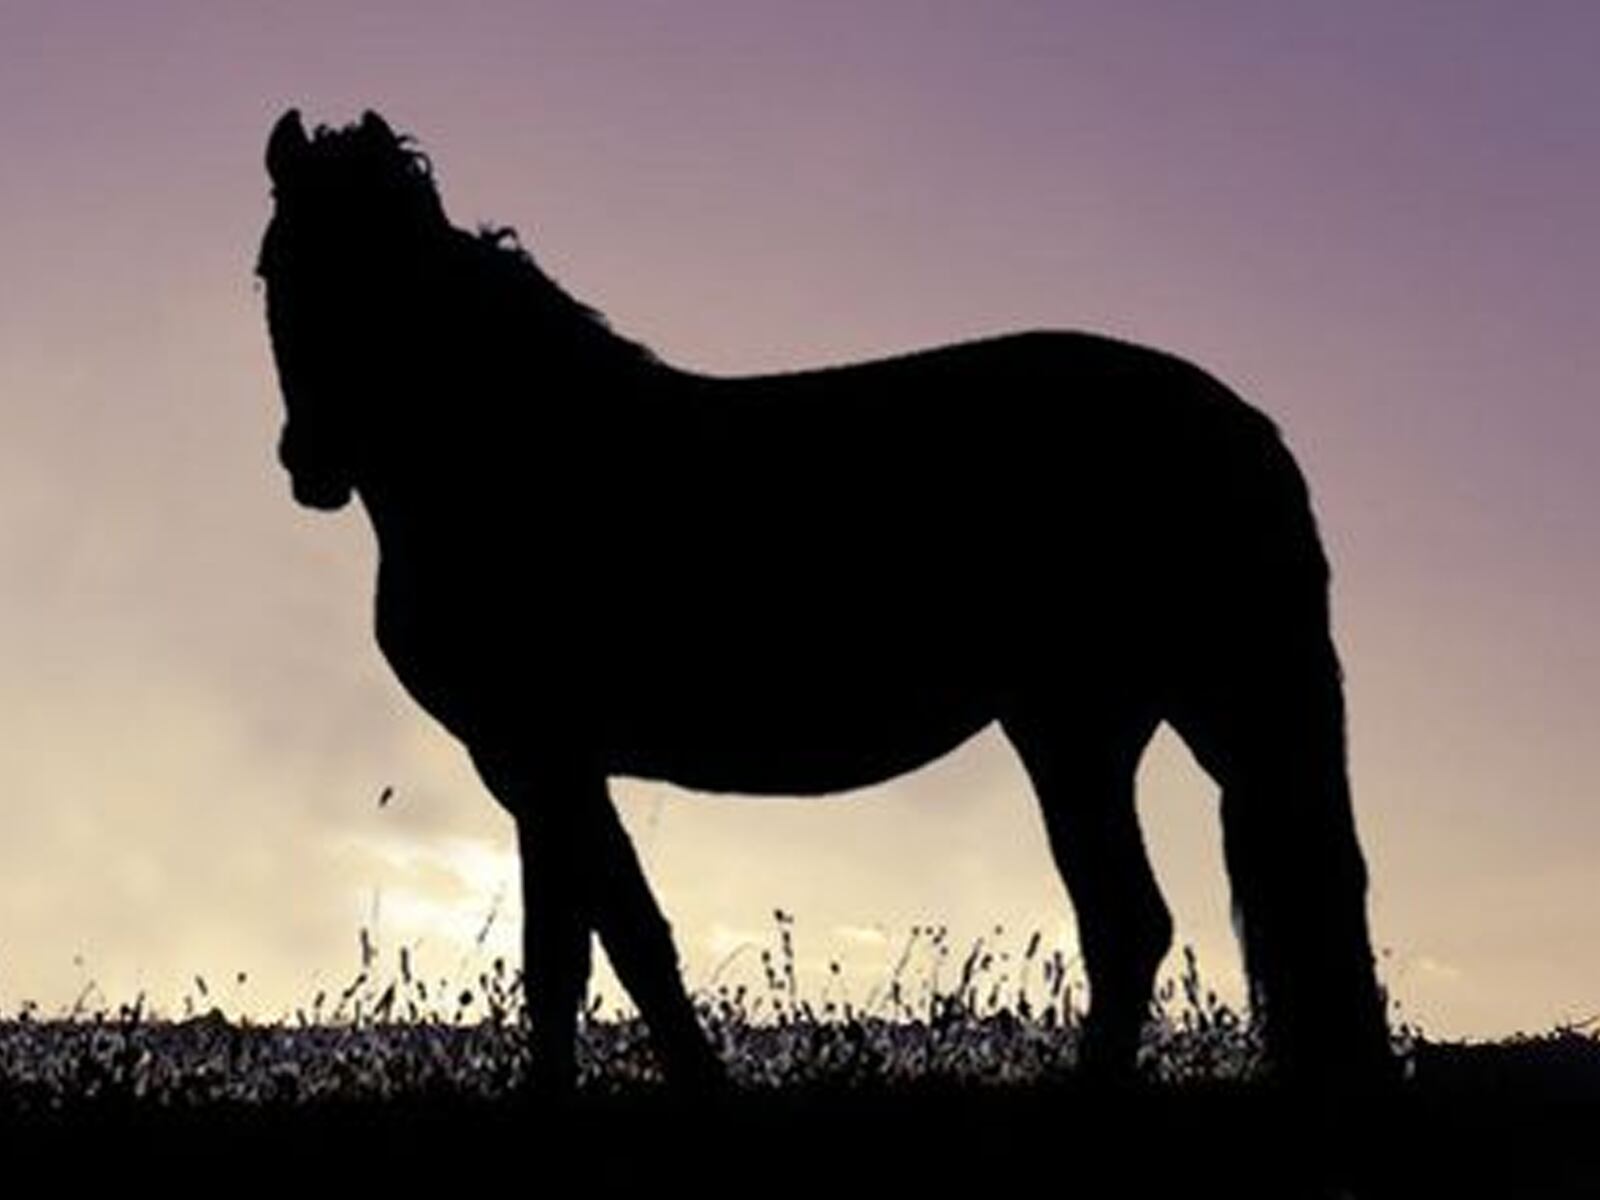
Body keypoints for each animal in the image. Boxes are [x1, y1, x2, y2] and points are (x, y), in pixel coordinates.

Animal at [257, 109, 1393, 1095]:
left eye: (396, 276)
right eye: (275, 268)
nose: (311, 465)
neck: (519, 452)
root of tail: (1240, 424)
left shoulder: (545, 755)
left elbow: (609, 949)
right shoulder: (540, 765)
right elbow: (583, 954)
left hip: (1102, 722)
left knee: (1128, 923)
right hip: (1125, 723)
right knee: (1150, 920)